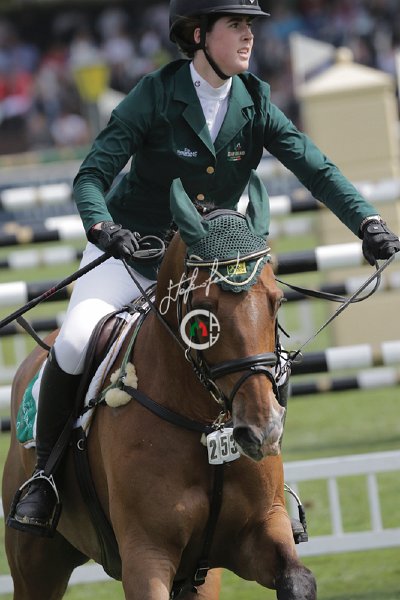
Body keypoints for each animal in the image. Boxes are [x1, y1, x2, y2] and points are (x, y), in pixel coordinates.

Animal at [2, 172, 316, 600]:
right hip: (37, 566)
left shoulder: (261, 530)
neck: (203, 422)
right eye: (203, 314)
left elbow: (298, 580)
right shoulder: (145, 554)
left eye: (277, 302)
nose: (262, 429)